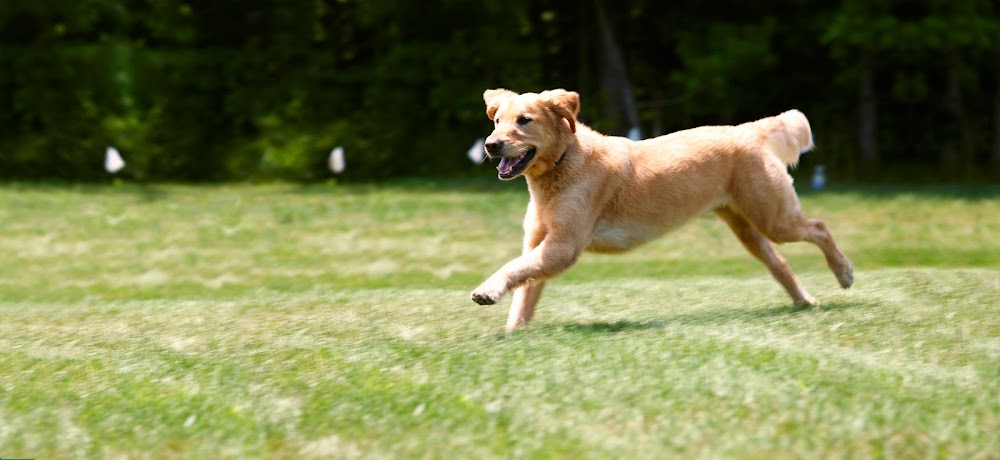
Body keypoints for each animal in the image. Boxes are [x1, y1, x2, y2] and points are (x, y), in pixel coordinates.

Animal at [470, 88, 852, 330]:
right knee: (782, 264)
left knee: (819, 227)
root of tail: (748, 130)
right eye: (497, 121)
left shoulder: (562, 246)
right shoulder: (539, 242)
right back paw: (804, 301)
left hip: (774, 217)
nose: (490, 145)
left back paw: (844, 273)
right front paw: (513, 331)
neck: (562, 164)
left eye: (524, 120)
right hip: (748, 228)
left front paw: (487, 291)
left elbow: (513, 269)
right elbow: (525, 292)